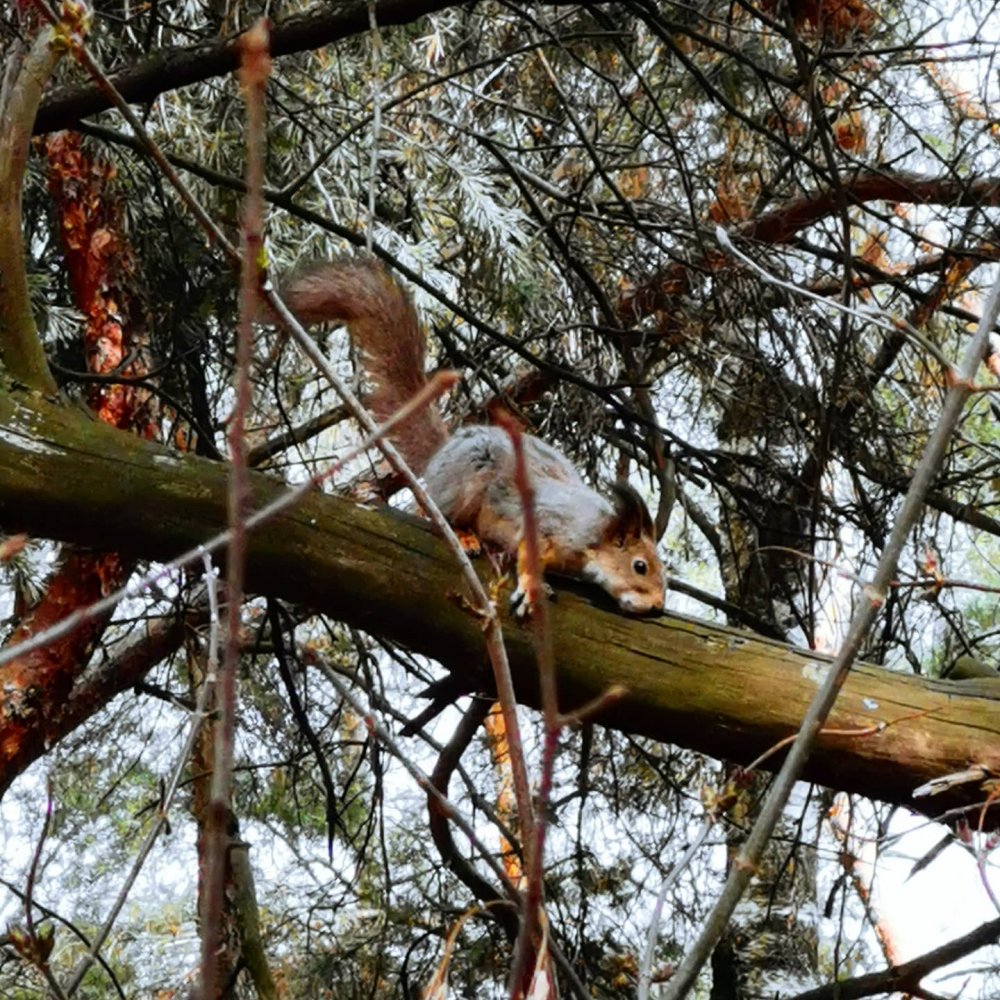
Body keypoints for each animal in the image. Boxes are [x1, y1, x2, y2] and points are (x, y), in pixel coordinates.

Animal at [280, 259, 665, 617]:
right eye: (640, 566)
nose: (658, 607)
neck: (594, 534)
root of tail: (445, 451)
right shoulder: (548, 524)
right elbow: (529, 553)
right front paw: (532, 588)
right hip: (467, 480)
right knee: (432, 509)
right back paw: (463, 535)